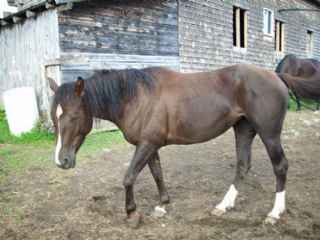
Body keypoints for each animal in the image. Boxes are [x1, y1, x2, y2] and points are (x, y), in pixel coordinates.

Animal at [48, 63, 320, 227]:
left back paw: (274, 213)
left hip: (269, 133)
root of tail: (276, 76)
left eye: (73, 116)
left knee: (280, 166)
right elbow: (157, 173)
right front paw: (162, 205)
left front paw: (132, 213)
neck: (137, 98)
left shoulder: (147, 144)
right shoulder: (150, 145)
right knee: (243, 166)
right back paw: (223, 206)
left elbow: (129, 177)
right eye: (54, 117)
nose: (61, 161)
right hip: (244, 129)